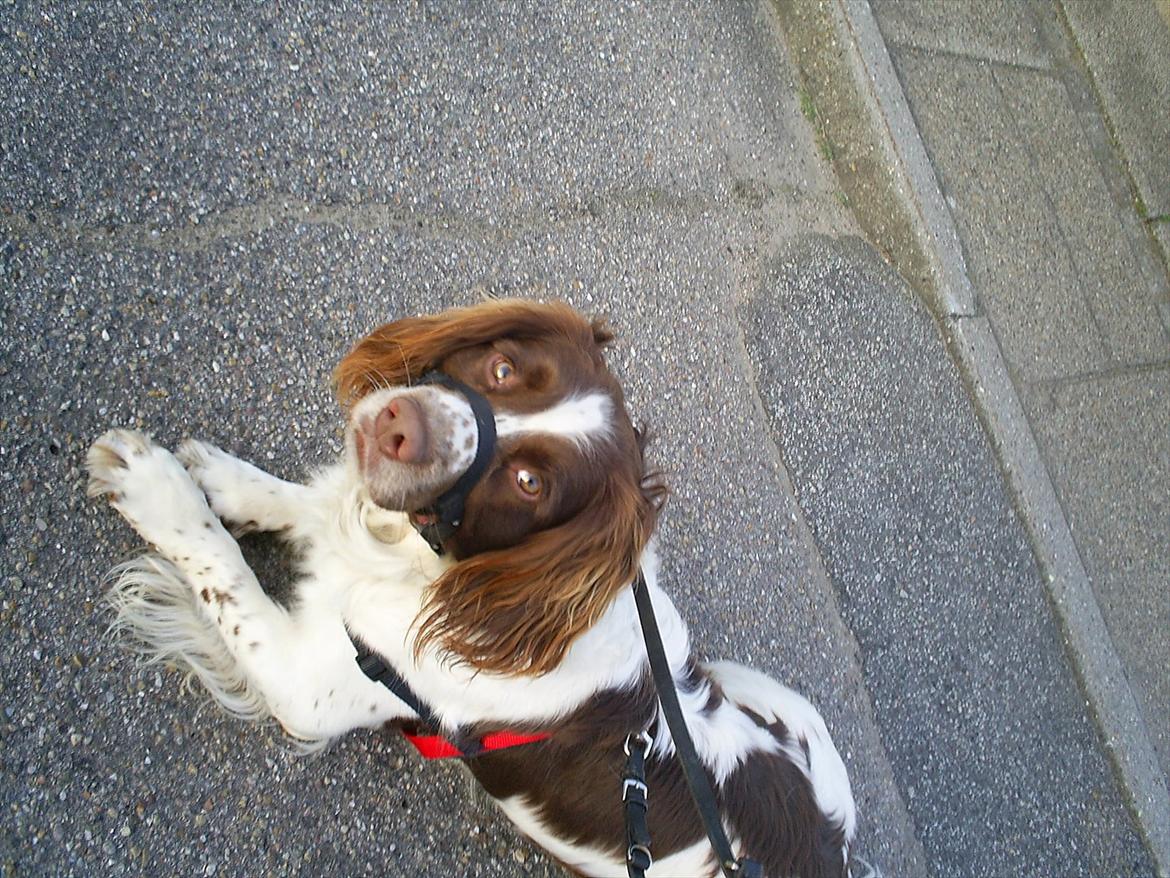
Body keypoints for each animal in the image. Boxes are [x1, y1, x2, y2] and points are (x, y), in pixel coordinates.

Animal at [86, 302, 856, 878]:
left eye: (529, 483)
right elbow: (308, 506)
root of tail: (839, 851)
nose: (398, 425)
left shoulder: (309, 688)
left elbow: (223, 569)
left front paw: (156, 487)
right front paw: (228, 482)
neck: (447, 579)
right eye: (502, 367)